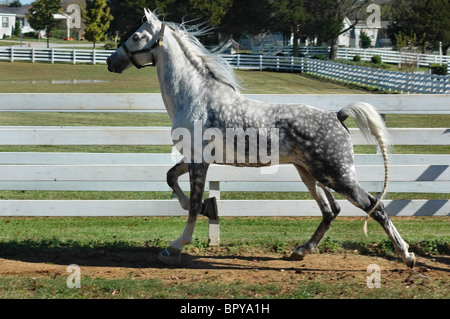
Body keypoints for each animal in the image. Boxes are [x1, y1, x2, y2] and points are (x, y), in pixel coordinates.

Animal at [107, 9, 416, 270]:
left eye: (136, 36)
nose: (111, 61)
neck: (196, 97)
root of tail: (338, 116)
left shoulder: (199, 162)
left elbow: (193, 204)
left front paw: (175, 247)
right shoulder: (194, 158)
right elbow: (171, 178)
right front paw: (210, 208)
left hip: (337, 175)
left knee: (376, 207)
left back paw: (407, 255)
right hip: (309, 174)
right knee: (332, 210)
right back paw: (301, 251)